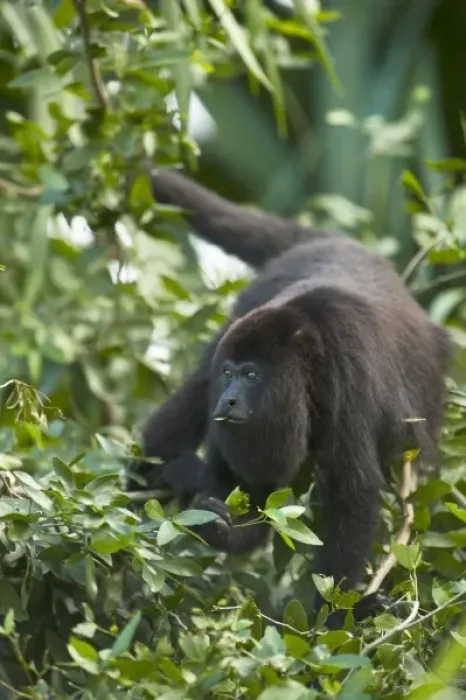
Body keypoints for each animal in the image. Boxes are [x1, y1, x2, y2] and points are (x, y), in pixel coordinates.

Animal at [130, 168, 451, 624]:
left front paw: (333, 618)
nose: (227, 399)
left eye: (251, 375)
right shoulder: (232, 340)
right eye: (229, 374)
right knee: (190, 400)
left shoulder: (350, 377)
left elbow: (353, 490)